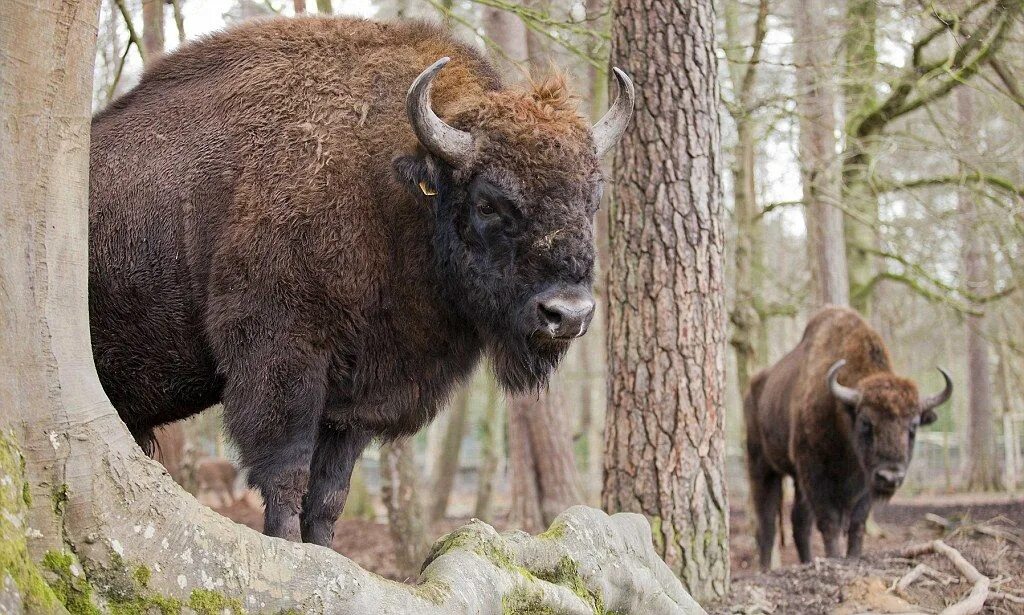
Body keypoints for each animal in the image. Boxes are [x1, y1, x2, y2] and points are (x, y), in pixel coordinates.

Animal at [90, 18, 630, 548]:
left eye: (593, 200)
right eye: (487, 203)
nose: (568, 314)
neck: (391, 188)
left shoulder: (357, 397)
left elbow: (331, 492)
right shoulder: (282, 362)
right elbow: (287, 474)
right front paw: (289, 547)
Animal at [745, 304, 950, 568]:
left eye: (913, 426)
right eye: (865, 422)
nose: (890, 477)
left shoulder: (865, 481)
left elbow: (857, 522)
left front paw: (853, 557)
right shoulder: (815, 473)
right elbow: (829, 521)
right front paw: (834, 557)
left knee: (799, 522)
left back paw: (806, 561)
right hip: (762, 466)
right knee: (767, 523)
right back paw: (765, 568)